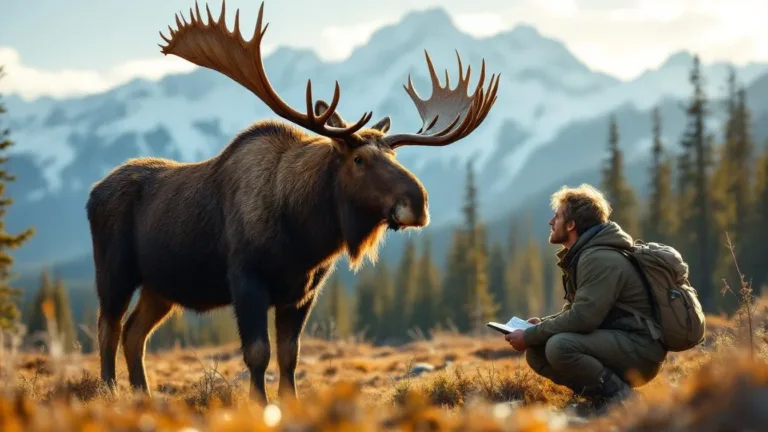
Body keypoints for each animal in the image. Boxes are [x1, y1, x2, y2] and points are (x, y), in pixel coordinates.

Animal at [86, 0, 500, 405]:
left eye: (395, 156)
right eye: (359, 159)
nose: (418, 202)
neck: (304, 233)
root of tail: (93, 193)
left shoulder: (303, 292)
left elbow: (290, 355)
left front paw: (289, 401)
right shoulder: (246, 280)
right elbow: (257, 353)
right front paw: (260, 404)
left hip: (160, 286)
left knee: (134, 333)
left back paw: (142, 394)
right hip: (115, 270)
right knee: (108, 327)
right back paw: (109, 391)